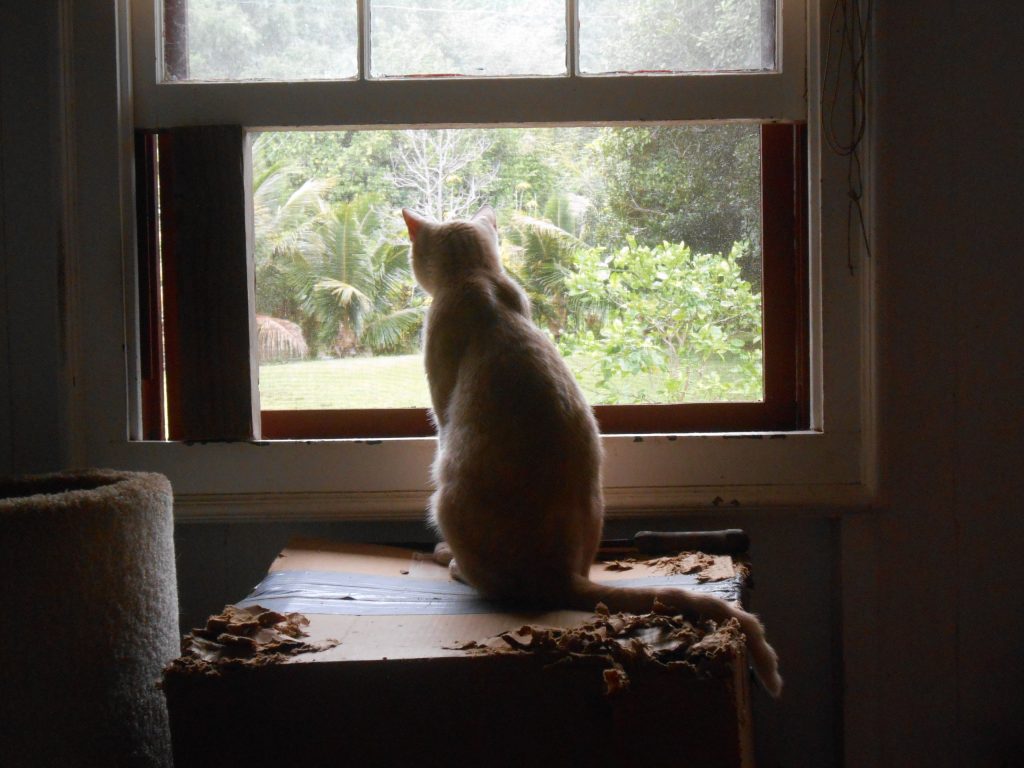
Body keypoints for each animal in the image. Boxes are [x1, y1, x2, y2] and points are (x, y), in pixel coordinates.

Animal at [403, 204, 778, 696]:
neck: (479, 281)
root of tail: (564, 575)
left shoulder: (441, 409)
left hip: (443, 498)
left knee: (485, 582)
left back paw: (450, 561)